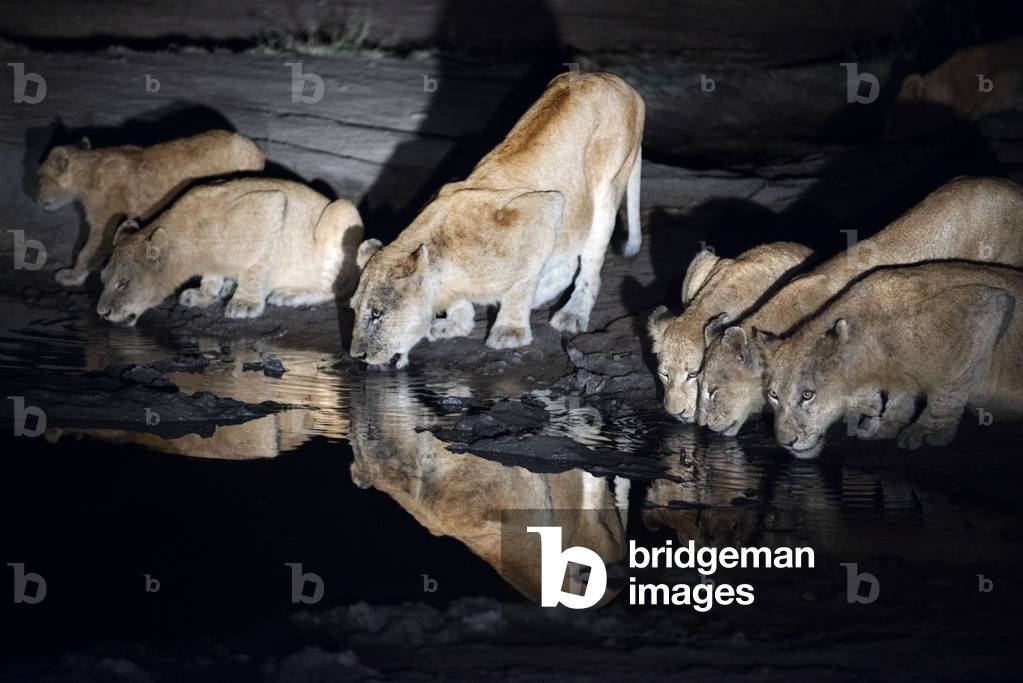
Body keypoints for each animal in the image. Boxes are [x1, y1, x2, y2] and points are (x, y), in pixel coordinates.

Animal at [37, 130, 265, 286]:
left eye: (40, 177)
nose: (36, 198)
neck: (87, 172)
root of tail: (255, 151)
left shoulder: (105, 220)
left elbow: (88, 250)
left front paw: (71, 275)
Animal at [97, 178, 362, 325]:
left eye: (123, 284)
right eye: (103, 279)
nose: (102, 313)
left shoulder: (269, 206)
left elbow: (256, 267)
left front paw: (244, 305)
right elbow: (212, 275)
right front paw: (203, 295)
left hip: (342, 211)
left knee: (338, 288)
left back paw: (290, 294)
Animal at [350, 72, 644, 369]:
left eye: (377, 313)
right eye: (354, 309)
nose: (356, 355)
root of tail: (618, 82)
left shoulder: (545, 206)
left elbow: (521, 284)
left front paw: (509, 332)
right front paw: (456, 324)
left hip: (606, 191)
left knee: (589, 267)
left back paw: (572, 313)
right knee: (567, 264)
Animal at [756, 261, 1023, 458]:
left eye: (807, 395)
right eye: (774, 395)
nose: (786, 442)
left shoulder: (986, 306)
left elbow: (949, 386)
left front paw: (928, 430)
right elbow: (901, 395)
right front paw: (886, 425)